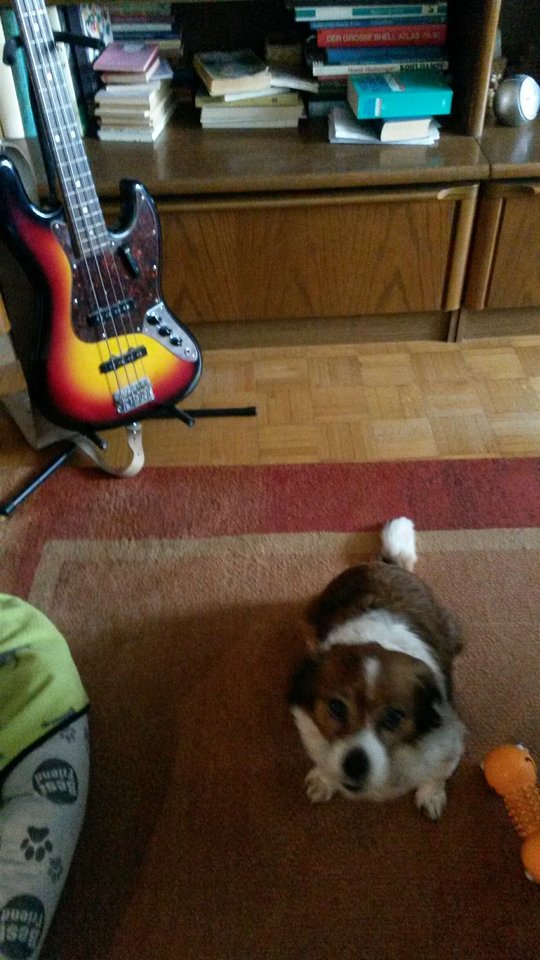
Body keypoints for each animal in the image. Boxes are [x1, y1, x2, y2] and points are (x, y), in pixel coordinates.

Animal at [288, 518, 465, 819]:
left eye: (394, 717)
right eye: (336, 708)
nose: (355, 765)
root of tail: (387, 564)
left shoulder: (448, 740)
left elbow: (438, 773)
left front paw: (431, 795)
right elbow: (324, 760)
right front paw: (325, 779)